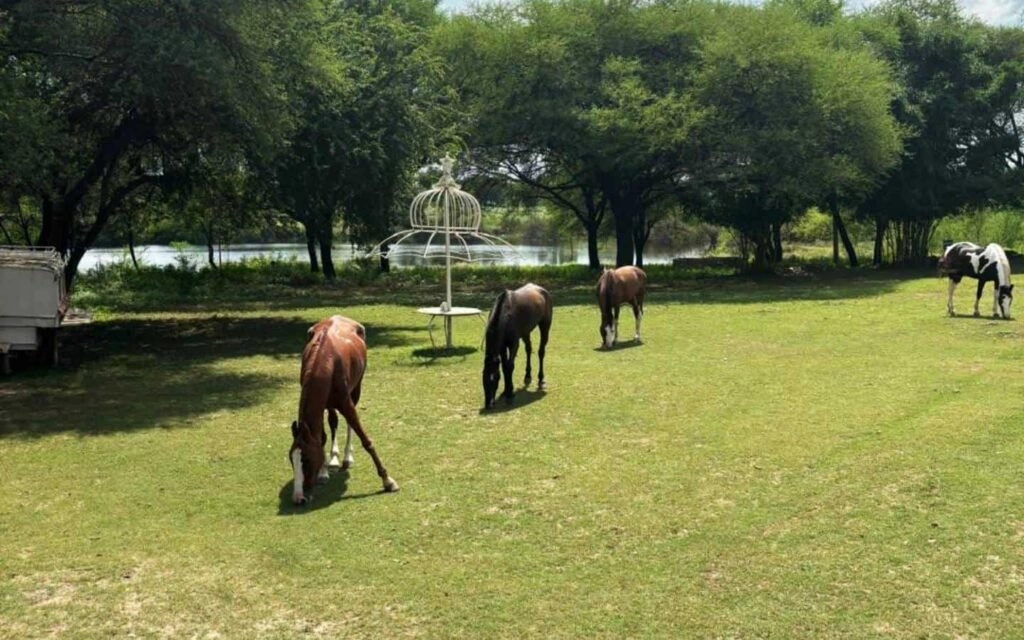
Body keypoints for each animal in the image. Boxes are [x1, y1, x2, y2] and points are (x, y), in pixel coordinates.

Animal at [289, 315, 398, 505]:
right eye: (291, 459)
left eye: (306, 459)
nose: (298, 498)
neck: (323, 361)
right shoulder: (321, 406)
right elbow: (320, 438)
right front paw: (323, 471)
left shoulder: (346, 403)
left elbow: (366, 441)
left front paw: (387, 480)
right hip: (330, 404)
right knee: (333, 423)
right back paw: (333, 459)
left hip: (356, 390)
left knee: (348, 424)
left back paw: (347, 458)